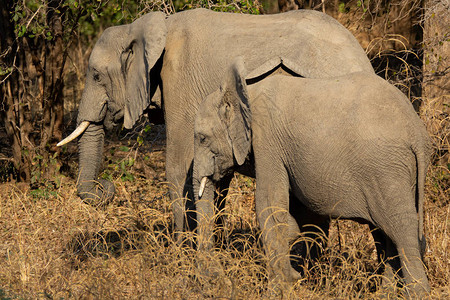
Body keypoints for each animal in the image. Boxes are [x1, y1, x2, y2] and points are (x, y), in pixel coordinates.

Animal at [57, 8, 372, 243]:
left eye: (96, 76)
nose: (105, 188)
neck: (147, 27)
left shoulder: (180, 81)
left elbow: (178, 166)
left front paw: (182, 254)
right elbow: (215, 177)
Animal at [194, 58, 432, 296]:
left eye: (202, 138)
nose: (220, 282)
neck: (245, 92)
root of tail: (417, 133)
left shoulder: (267, 140)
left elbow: (270, 206)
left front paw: (278, 290)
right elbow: (297, 214)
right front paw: (294, 273)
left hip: (385, 170)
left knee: (402, 233)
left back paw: (417, 293)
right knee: (390, 235)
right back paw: (384, 295)